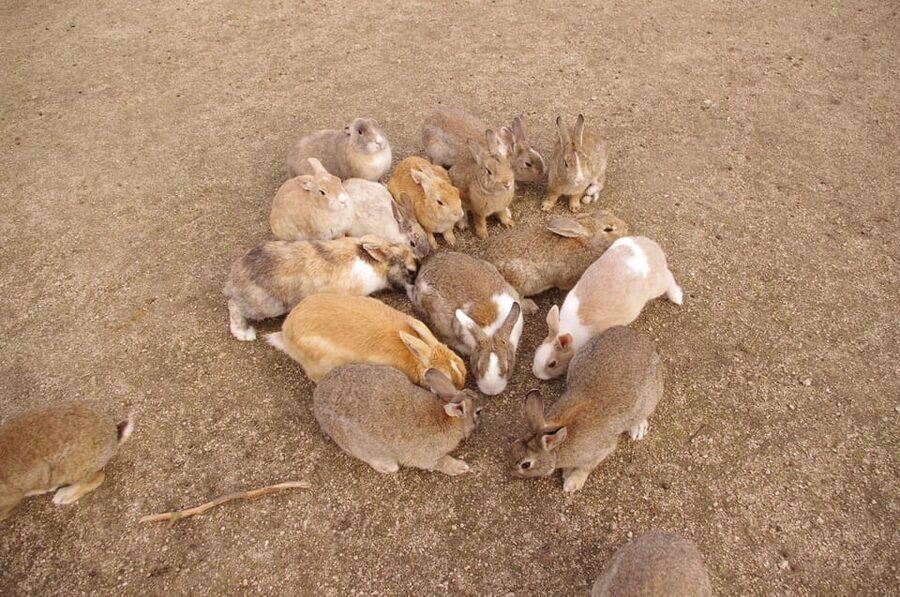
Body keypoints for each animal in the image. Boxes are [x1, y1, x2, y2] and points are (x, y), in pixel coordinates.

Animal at [224, 236, 417, 341]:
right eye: (410, 270)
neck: (375, 264)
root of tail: (234, 279)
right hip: (267, 306)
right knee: (233, 306)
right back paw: (244, 333)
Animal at [313, 365, 482, 475]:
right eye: (478, 412)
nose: (482, 410)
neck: (448, 419)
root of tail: (317, 399)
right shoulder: (428, 457)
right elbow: (442, 462)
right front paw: (461, 468)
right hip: (358, 446)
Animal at [511, 326, 663, 492]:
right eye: (515, 444)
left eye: (526, 464)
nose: (510, 471)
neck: (559, 446)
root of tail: (645, 341)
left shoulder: (601, 450)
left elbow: (586, 467)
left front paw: (571, 484)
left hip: (650, 397)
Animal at [532, 236, 682, 379]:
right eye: (537, 350)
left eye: (552, 364)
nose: (536, 373)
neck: (570, 330)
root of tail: (655, 248)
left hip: (657, 286)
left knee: (669, 277)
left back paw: (677, 297)